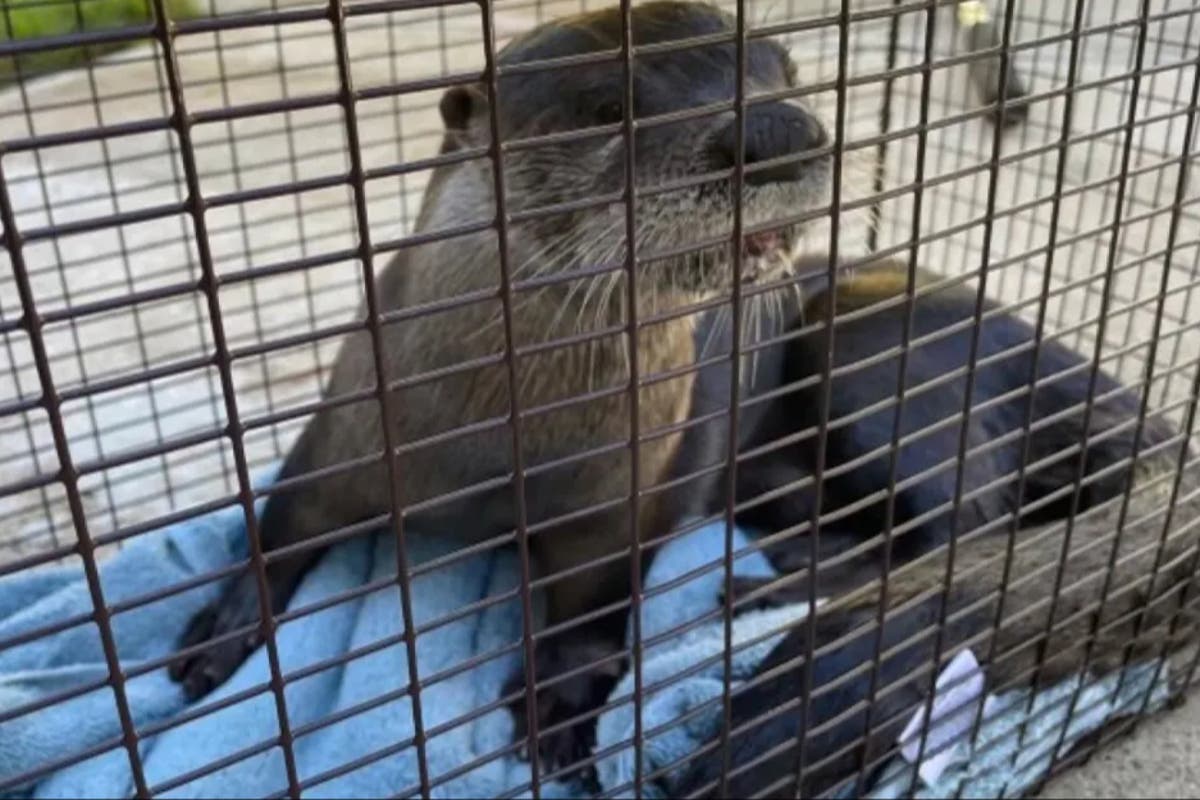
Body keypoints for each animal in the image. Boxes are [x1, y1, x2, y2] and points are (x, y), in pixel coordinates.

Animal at [171, 0, 835, 777]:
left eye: (787, 75)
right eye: (605, 108)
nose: (780, 128)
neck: (495, 450)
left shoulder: (619, 499)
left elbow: (595, 604)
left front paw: (561, 700)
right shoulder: (346, 430)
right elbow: (281, 523)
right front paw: (223, 626)